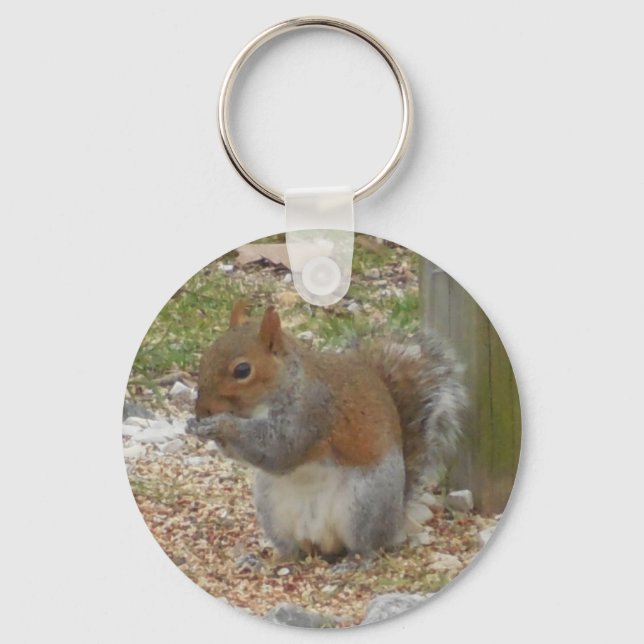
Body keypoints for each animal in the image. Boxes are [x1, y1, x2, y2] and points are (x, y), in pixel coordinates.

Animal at [187, 301, 465, 559]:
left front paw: (221, 424)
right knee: (292, 549)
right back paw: (269, 561)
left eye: (242, 370)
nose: (202, 411)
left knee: (369, 545)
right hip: (272, 509)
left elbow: (279, 449)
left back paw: (356, 561)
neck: (286, 383)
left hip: (364, 504)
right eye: (205, 356)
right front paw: (196, 426)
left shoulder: (311, 412)